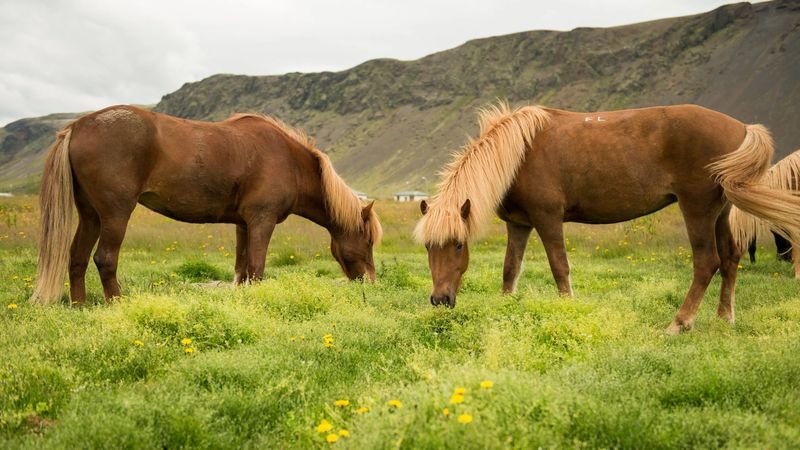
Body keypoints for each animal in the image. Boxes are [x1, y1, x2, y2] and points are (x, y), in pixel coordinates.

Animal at [31, 105, 382, 306]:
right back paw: (116, 303)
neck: (288, 160)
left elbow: (242, 270)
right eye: (367, 241)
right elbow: (257, 268)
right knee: (104, 258)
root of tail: (78, 126)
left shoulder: (243, 225)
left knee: (77, 258)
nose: (371, 283)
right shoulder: (262, 221)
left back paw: (79, 306)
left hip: (90, 215)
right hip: (115, 214)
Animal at [415, 101, 800, 334]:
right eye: (428, 248)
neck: (519, 152)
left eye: (458, 245)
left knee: (708, 262)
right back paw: (724, 319)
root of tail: (742, 127)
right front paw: (505, 308)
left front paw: (568, 310)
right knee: (731, 258)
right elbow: (510, 270)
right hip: (721, 211)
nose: (439, 301)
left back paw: (679, 323)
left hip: (698, 209)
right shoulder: (519, 224)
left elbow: (560, 268)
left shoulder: (548, 220)